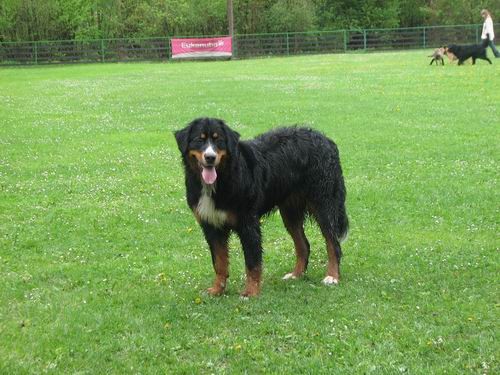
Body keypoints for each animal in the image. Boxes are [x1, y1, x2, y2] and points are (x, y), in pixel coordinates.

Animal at [175, 119, 348, 298]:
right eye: (199, 139)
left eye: (219, 140)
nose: (210, 157)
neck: (221, 178)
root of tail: (325, 139)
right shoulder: (211, 226)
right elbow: (219, 263)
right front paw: (217, 290)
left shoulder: (248, 224)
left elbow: (252, 263)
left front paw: (250, 292)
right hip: (290, 212)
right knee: (304, 245)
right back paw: (296, 274)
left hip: (323, 204)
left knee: (333, 244)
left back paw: (332, 276)